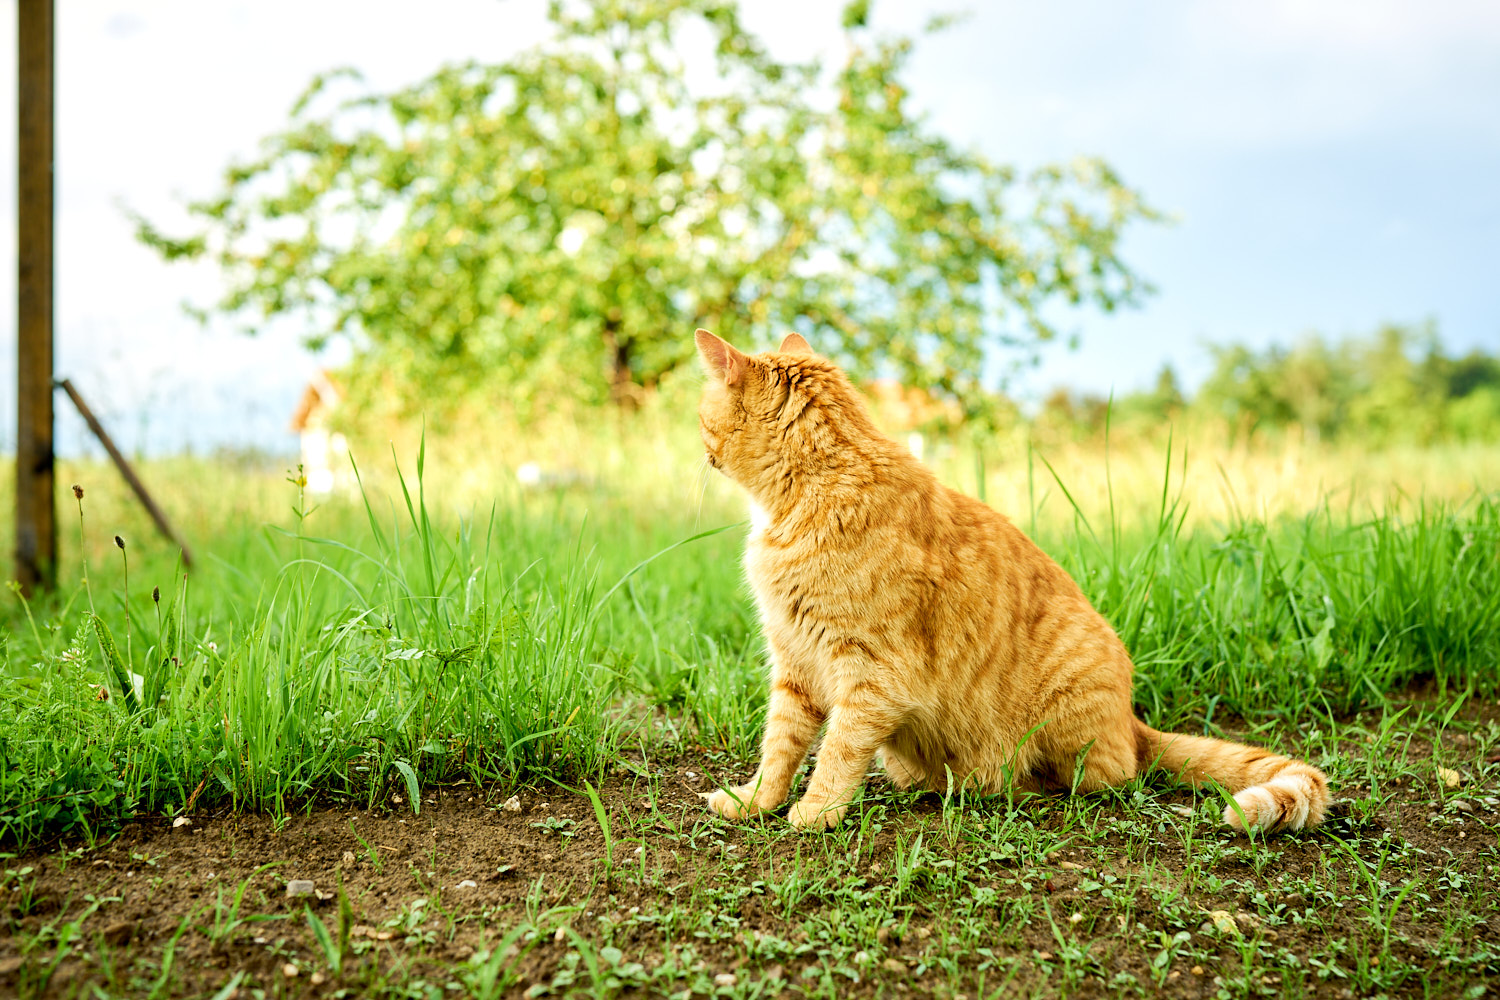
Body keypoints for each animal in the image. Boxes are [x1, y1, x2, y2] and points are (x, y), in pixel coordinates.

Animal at [696, 329, 1332, 839]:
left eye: (704, 418)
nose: (700, 450)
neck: (804, 499)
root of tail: (1132, 719)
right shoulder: (795, 664)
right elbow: (780, 746)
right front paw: (756, 802)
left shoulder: (871, 674)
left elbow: (836, 750)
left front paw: (816, 811)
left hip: (1071, 696)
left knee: (1105, 778)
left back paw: (996, 784)